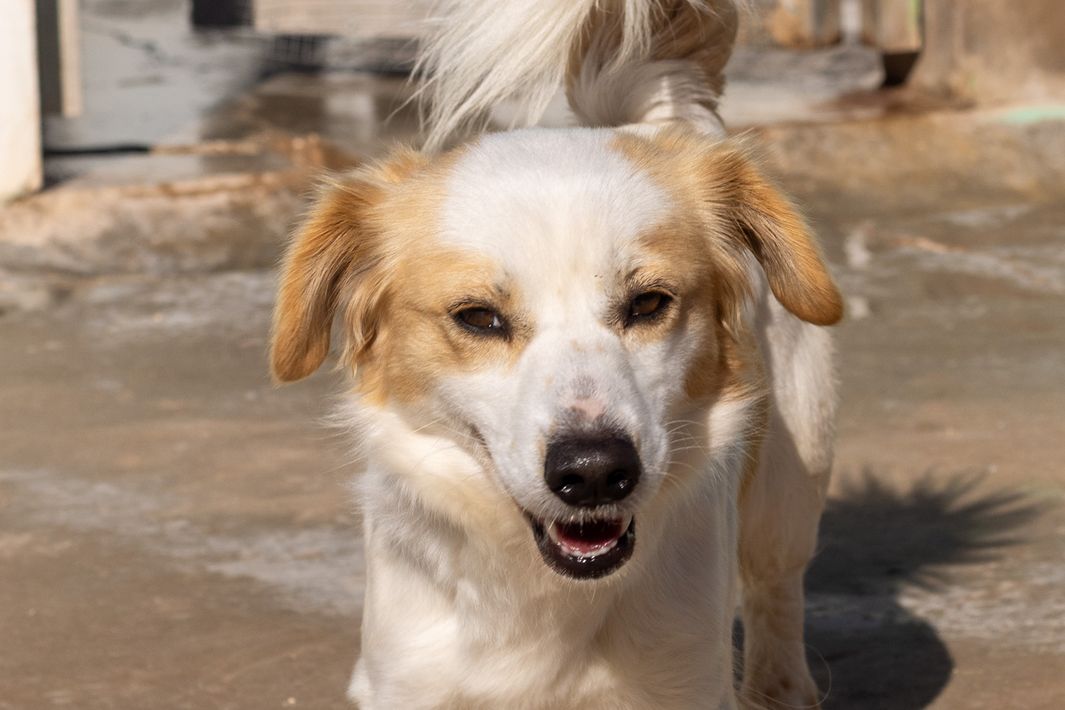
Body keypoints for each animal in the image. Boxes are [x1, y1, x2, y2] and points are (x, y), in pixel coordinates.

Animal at [270, 1, 843, 708]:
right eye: (478, 318)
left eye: (649, 303)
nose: (595, 471)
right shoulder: (408, 677)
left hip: (789, 488)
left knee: (777, 594)